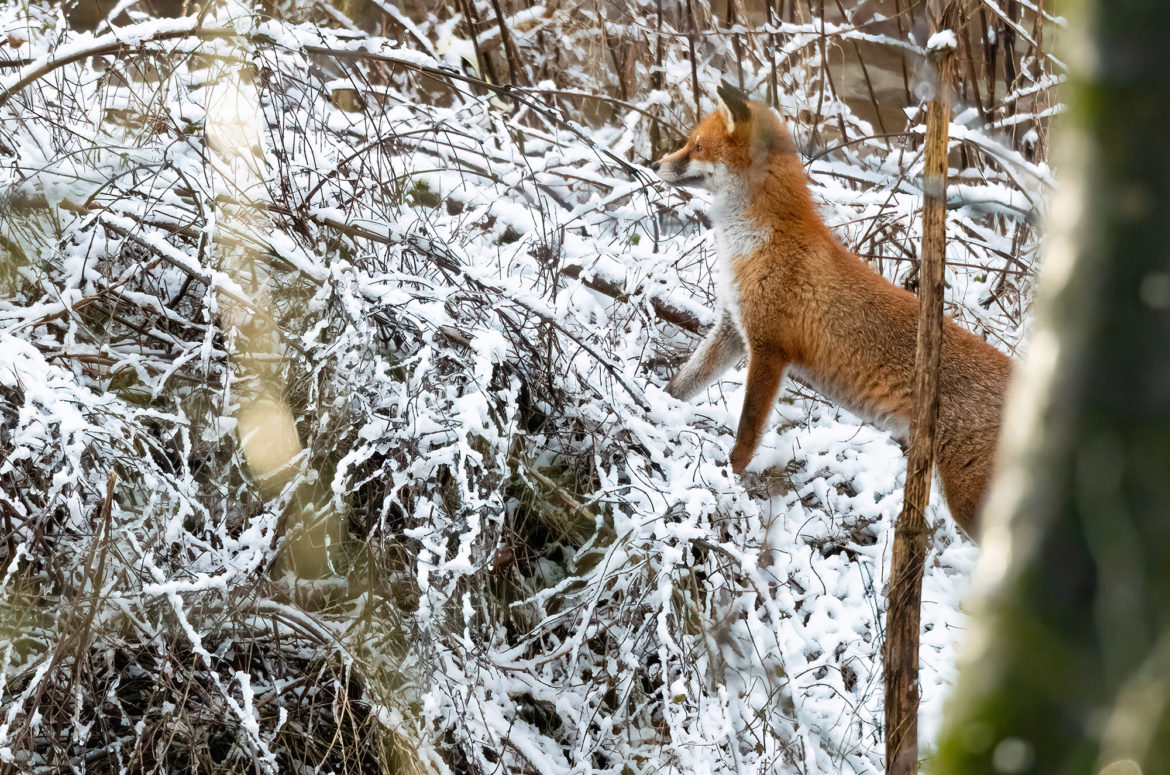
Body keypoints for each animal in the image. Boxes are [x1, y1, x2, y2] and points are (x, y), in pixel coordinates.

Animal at [650, 81, 1011, 536]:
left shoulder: (769, 350)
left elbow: (747, 433)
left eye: (697, 146)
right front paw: (650, 407)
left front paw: (728, 477)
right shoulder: (732, 329)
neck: (759, 242)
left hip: (968, 504)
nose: (655, 164)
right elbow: (682, 383)